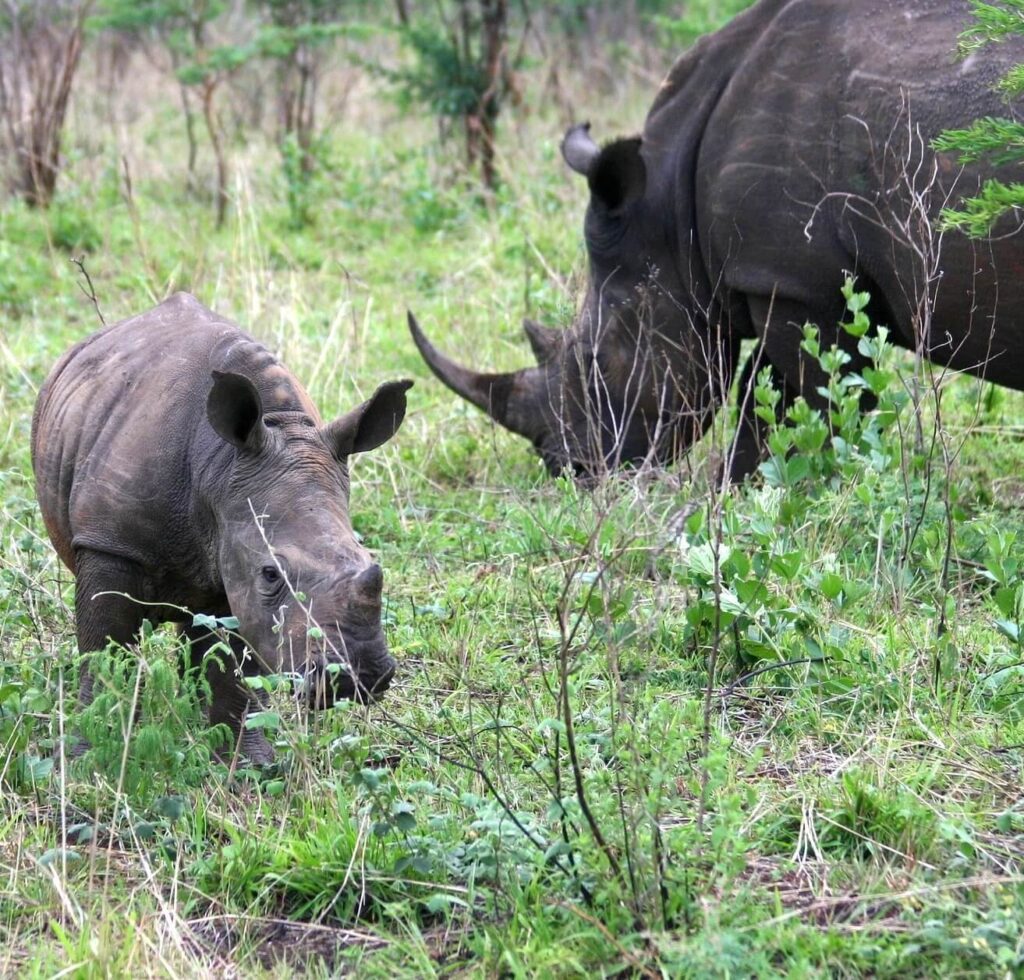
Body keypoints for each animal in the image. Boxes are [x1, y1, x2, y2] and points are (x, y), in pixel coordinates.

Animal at [34, 292, 413, 765]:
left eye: (370, 561)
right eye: (271, 573)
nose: (357, 679)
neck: (219, 467)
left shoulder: (235, 554)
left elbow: (233, 669)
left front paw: (249, 766)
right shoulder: (110, 544)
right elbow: (106, 651)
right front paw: (89, 755)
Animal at [411, 0, 1024, 481]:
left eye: (595, 360)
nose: (568, 468)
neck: (667, 207)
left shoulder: (801, 280)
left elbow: (824, 402)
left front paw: (822, 491)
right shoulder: (776, 278)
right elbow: (767, 403)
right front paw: (745, 496)